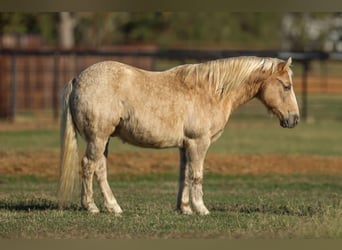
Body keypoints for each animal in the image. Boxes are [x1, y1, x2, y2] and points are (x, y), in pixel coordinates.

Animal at [58, 56, 300, 215]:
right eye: (286, 86)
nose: (294, 119)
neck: (211, 91)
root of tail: (78, 79)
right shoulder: (198, 143)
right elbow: (197, 175)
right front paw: (201, 209)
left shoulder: (186, 145)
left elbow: (185, 174)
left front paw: (184, 208)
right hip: (98, 139)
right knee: (89, 166)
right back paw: (91, 207)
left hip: (103, 140)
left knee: (99, 169)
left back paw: (113, 206)